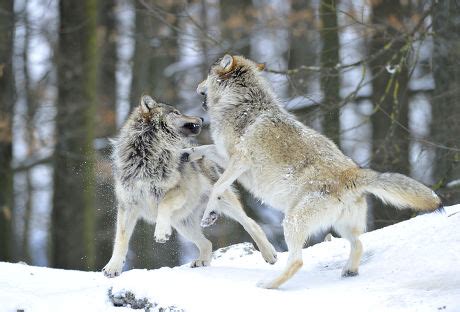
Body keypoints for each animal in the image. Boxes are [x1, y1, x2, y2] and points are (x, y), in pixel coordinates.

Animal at [103, 95, 276, 278]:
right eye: (176, 113)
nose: (201, 118)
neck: (147, 154)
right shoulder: (127, 205)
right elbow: (121, 240)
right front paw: (113, 267)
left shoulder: (179, 192)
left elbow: (163, 204)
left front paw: (161, 232)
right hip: (182, 225)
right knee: (207, 243)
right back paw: (202, 261)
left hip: (222, 203)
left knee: (251, 223)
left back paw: (269, 254)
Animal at [187, 54, 442, 288]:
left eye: (206, 74)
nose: (196, 87)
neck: (241, 103)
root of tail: (352, 173)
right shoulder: (225, 156)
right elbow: (203, 149)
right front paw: (187, 154)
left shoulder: (240, 161)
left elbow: (217, 187)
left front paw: (209, 215)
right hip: (340, 226)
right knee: (359, 243)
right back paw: (349, 271)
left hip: (292, 222)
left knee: (297, 261)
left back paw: (269, 284)